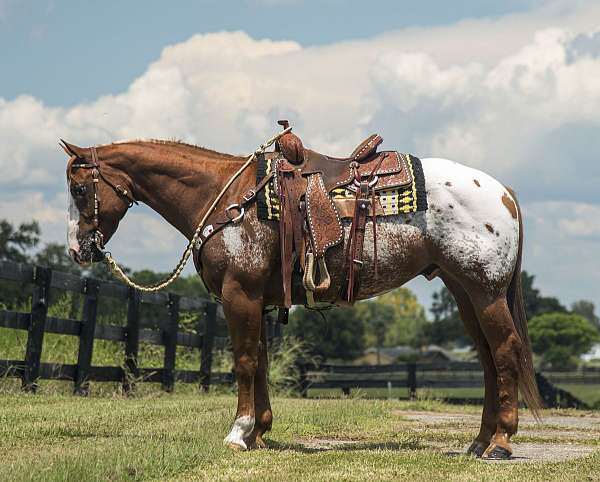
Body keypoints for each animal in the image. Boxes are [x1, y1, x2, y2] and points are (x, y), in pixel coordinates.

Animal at [63, 136, 540, 460]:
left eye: (80, 190)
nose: (77, 250)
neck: (227, 200)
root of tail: (503, 191)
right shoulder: (257, 299)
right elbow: (260, 361)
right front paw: (259, 432)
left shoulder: (240, 294)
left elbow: (244, 361)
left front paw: (238, 432)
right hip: (465, 293)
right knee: (488, 360)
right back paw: (478, 442)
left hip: (485, 292)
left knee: (504, 352)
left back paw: (500, 442)